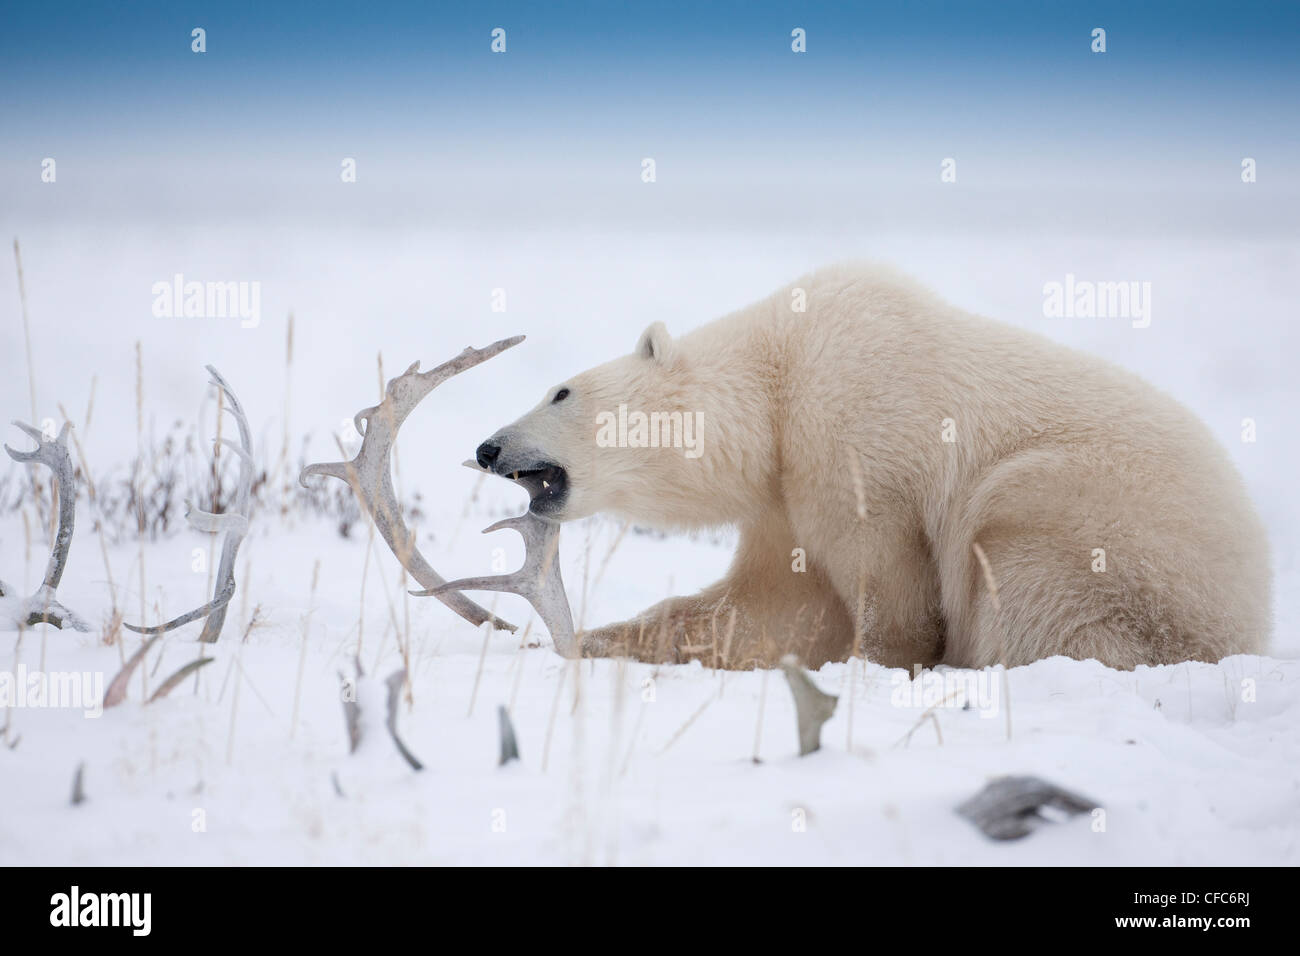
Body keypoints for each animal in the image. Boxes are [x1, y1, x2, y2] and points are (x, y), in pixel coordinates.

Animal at [475, 260, 1268, 665]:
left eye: (561, 389)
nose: (488, 447)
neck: (779, 373)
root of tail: (1253, 622)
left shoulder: (853, 425)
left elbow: (883, 574)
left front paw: (874, 662)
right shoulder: (784, 496)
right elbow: (772, 606)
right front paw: (600, 639)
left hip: (1114, 539)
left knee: (1024, 560)